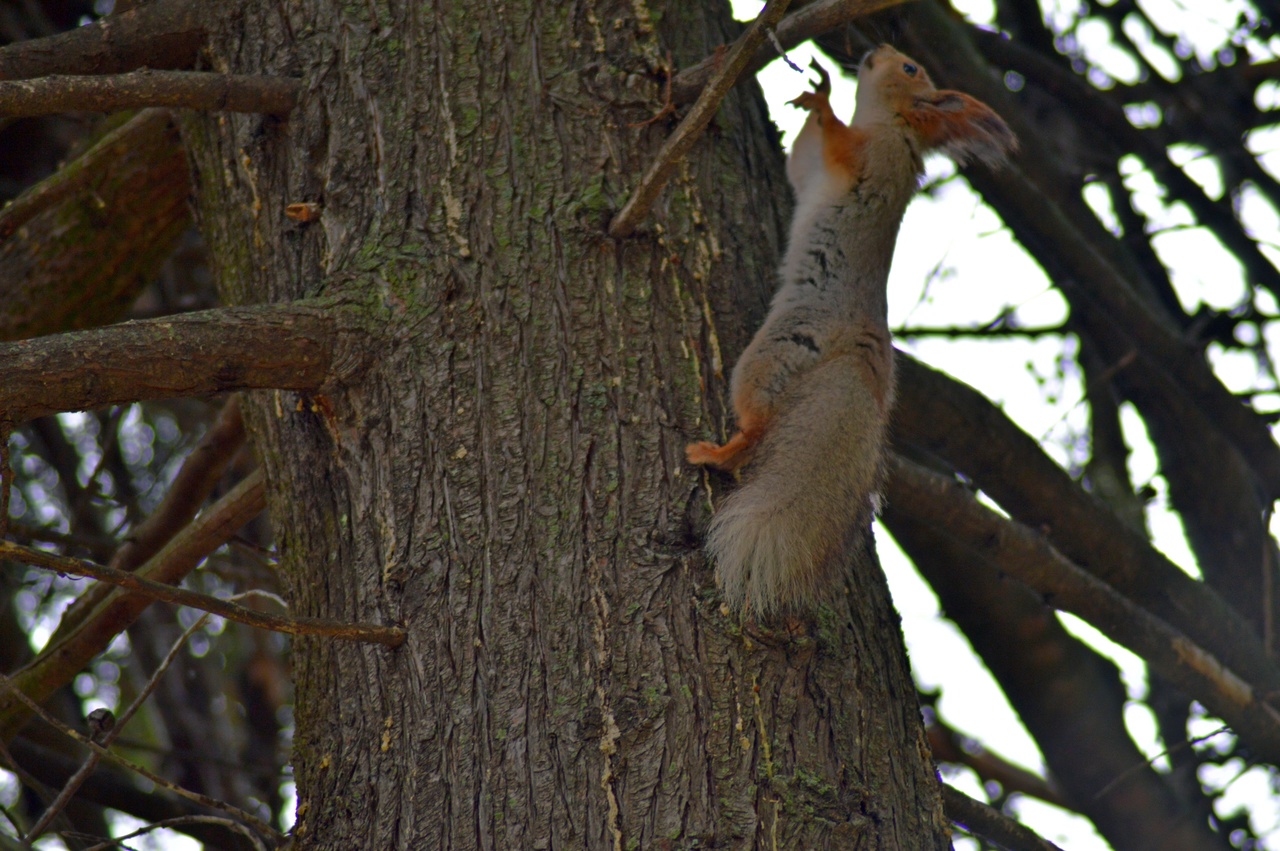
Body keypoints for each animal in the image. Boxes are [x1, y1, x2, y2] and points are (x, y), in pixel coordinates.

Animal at [687, 45, 1016, 616]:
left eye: (910, 69)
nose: (874, 50)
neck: (895, 126)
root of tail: (860, 359)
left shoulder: (867, 157)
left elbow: (838, 140)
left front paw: (823, 99)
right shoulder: (814, 169)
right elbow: (800, 164)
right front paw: (814, 90)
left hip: (773, 352)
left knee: (754, 432)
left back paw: (713, 453)